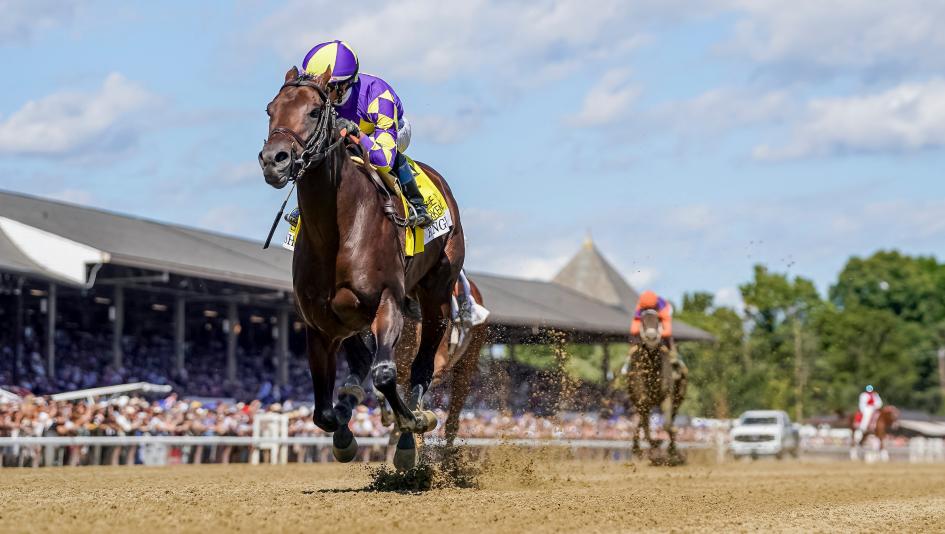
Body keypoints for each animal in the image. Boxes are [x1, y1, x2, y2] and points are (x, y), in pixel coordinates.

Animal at [259, 66, 465, 470]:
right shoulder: (319, 322)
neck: (337, 231)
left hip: (437, 295)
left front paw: (411, 422)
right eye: (270, 110)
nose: (274, 159)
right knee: (360, 364)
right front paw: (343, 429)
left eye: (313, 112)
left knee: (420, 362)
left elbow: (385, 374)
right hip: (350, 316)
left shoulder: (388, 301)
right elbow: (323, 411)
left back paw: (412, 423)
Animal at [625, 309, 687, 464]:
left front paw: (671, 451)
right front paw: (652, 446)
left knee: (671, 417)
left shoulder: (667, 395)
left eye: (658, 320)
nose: (652, 337)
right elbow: (645, 424)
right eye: (642, 321)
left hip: (678, 397)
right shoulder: (641, 399)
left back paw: (673, 452)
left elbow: (666, 424)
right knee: (642, 421)